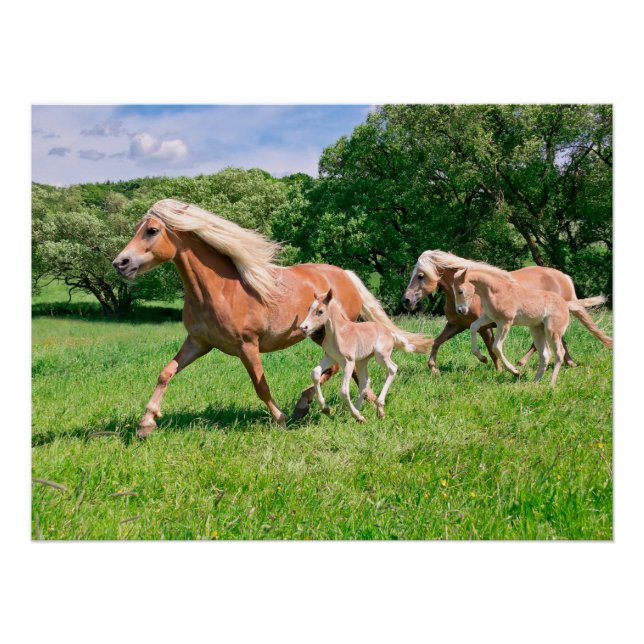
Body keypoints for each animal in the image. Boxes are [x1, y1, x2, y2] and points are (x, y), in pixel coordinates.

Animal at [299, 290, 432, 422]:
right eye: (309, 308)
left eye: (320, 311)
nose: (303, 327)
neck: (339, 333)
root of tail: (390, 332)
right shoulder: (331, 357)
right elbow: (315, 373)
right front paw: (326, 409)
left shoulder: (349, 361)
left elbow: (344, 391)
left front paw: (353, 414)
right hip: (362, 361)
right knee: (365, 381)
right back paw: (360, 414)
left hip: (380, 355)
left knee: (392, 368)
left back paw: (377, 409)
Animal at [402, 250, 586, 374]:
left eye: (420, 276)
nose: (406, 300)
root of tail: (564, 277)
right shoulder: (456, 325)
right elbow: (436, 342)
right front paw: (433, 368)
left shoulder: (486, 327)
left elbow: (492, 349)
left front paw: (497, 368)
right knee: (558, 341)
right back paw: (569, 363)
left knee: (544, 343)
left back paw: (522, 363)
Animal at [452, 266, 612, 386]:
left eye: (460, 290)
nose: (460, 310)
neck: (496, 291)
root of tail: (566, 304)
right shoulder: (489, 317)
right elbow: (473, 327)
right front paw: (481, 357)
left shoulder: (505, 322)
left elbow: (496, 347)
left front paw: (515, 371)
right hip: (537, 330)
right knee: (545, 355)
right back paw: (535, 382)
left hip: (552, 331)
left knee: (559, 353)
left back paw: (551, 384)